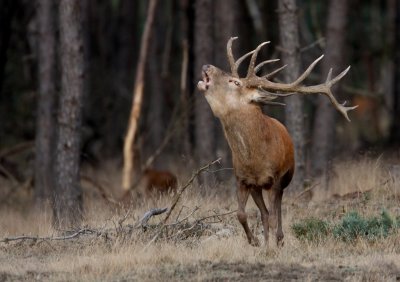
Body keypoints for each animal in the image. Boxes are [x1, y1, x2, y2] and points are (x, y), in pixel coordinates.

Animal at [197, 37, 356, 247]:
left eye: (235, 81)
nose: (207, 65)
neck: (254, 159)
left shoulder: (275, 178)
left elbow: (273, 217)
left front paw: (270, 246)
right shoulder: (242, 179)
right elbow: (241, 214)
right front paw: (256, 242)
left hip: (284, 180)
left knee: (277, 209)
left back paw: (279, 240)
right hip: (258, 187)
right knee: (264, 213)